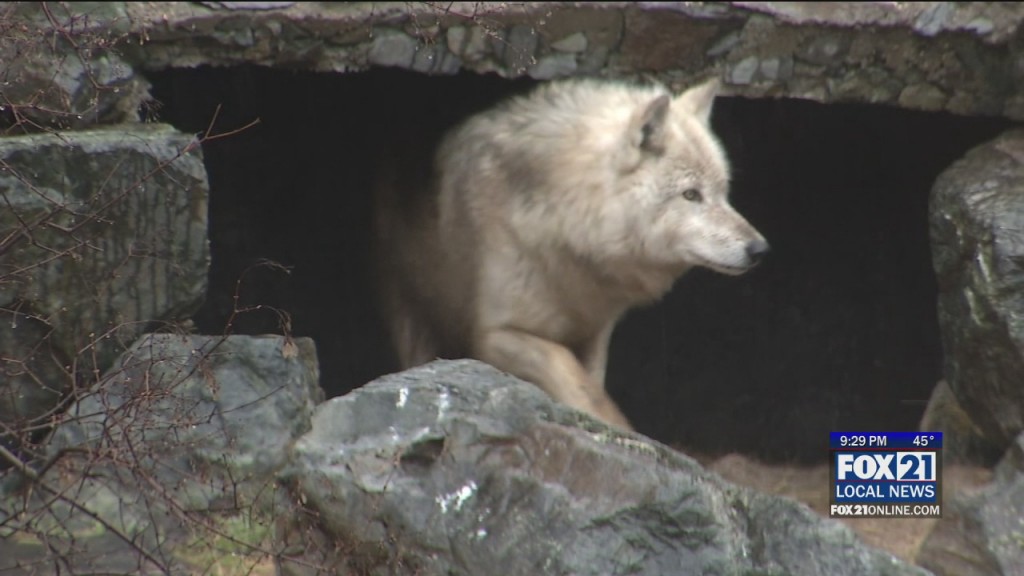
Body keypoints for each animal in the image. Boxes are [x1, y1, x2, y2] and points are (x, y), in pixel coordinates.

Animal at [373, 77, 769, 431]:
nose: (759, 249)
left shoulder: (595, 333)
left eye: (723, 192)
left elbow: (591, 381)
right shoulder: (494, 333)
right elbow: (571, 373)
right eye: (691, 195)